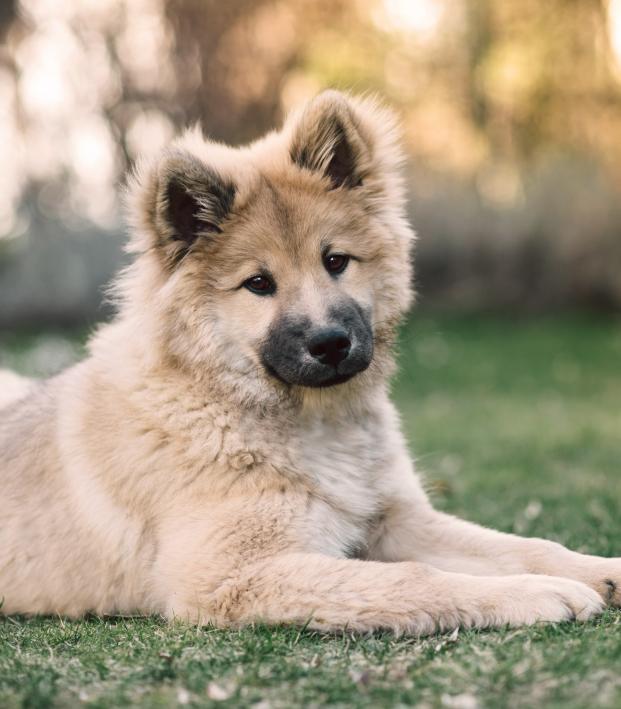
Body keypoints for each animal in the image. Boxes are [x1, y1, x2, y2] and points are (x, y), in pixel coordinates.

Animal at [1, 92, 620, 632]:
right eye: (258, 283)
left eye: (335, 261)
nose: (330, 343)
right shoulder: (230, 575)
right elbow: (412, 579)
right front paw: (533, 593)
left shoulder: (394, 517)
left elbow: (523, 544)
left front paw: (600, 571)